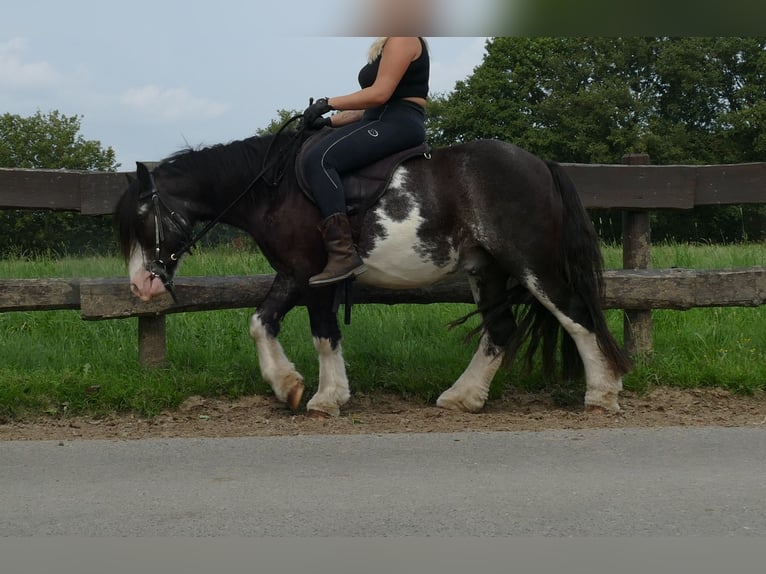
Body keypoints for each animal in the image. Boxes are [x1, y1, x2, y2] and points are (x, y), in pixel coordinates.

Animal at [114, 129, 632, 418]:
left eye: (142, 217)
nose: (140, 284)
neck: (276, 189)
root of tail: (540, 163)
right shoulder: (293, 273)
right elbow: (261, 323)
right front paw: (289, 386)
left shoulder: (312, 275)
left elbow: (322, 333)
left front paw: (324, 397)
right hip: (486, 270)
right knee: (500, 329)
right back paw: (462, 397)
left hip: (532, 264)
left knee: (577, 316)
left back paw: (603, 394)